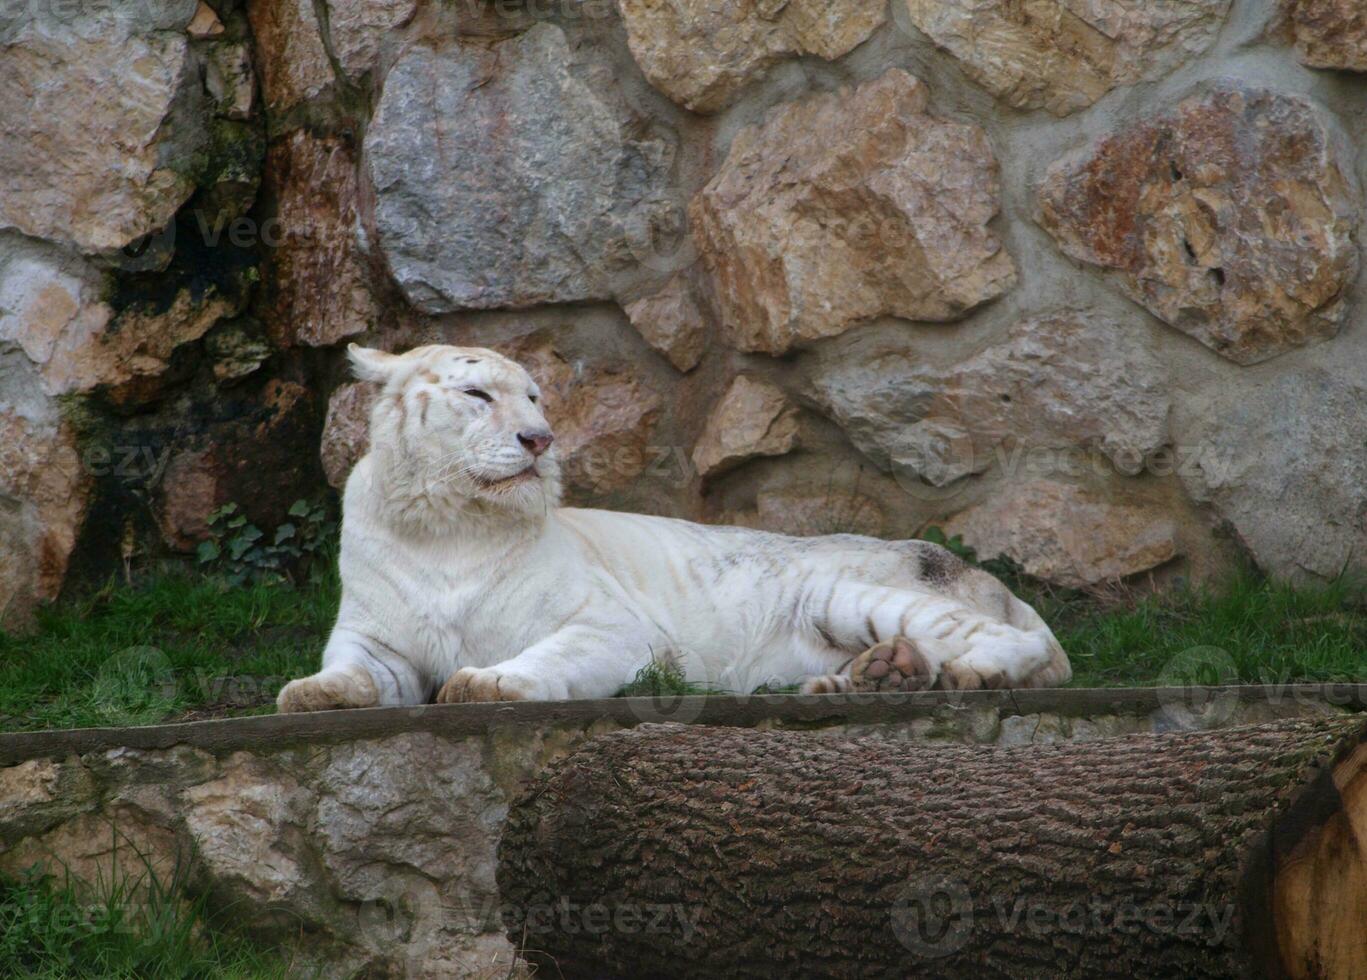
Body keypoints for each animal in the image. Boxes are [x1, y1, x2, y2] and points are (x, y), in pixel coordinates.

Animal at [274, 344, 1066, 710]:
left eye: (533, 397)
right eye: (477, 395)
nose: (540, 439)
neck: (451, 525)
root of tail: (994, 583)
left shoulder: (613, 629)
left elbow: (543, 658)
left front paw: (485, 682)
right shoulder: (376, 636)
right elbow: (350, 670)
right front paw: (309, 692)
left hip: (847, 592)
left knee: (1013, 644)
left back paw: (962, 672)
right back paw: (876, 677)